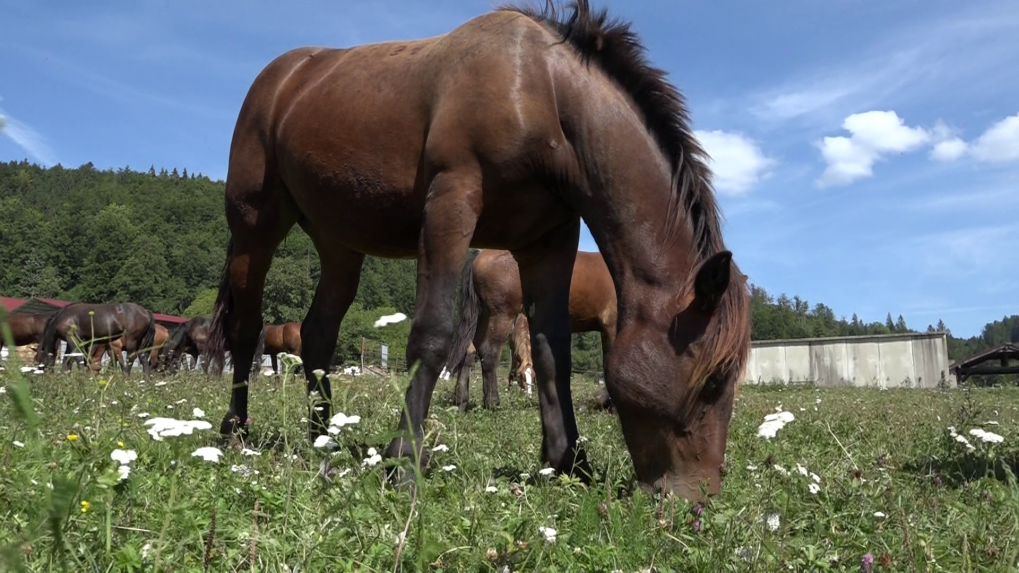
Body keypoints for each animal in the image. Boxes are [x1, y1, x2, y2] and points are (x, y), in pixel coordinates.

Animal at [444, 247, 611, 407]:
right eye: (522, 377)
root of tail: (481, 253)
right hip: (501, 315)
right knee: (489, 352)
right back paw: (492, 403)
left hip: (484, 316)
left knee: (469, 349)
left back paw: (462, 401)